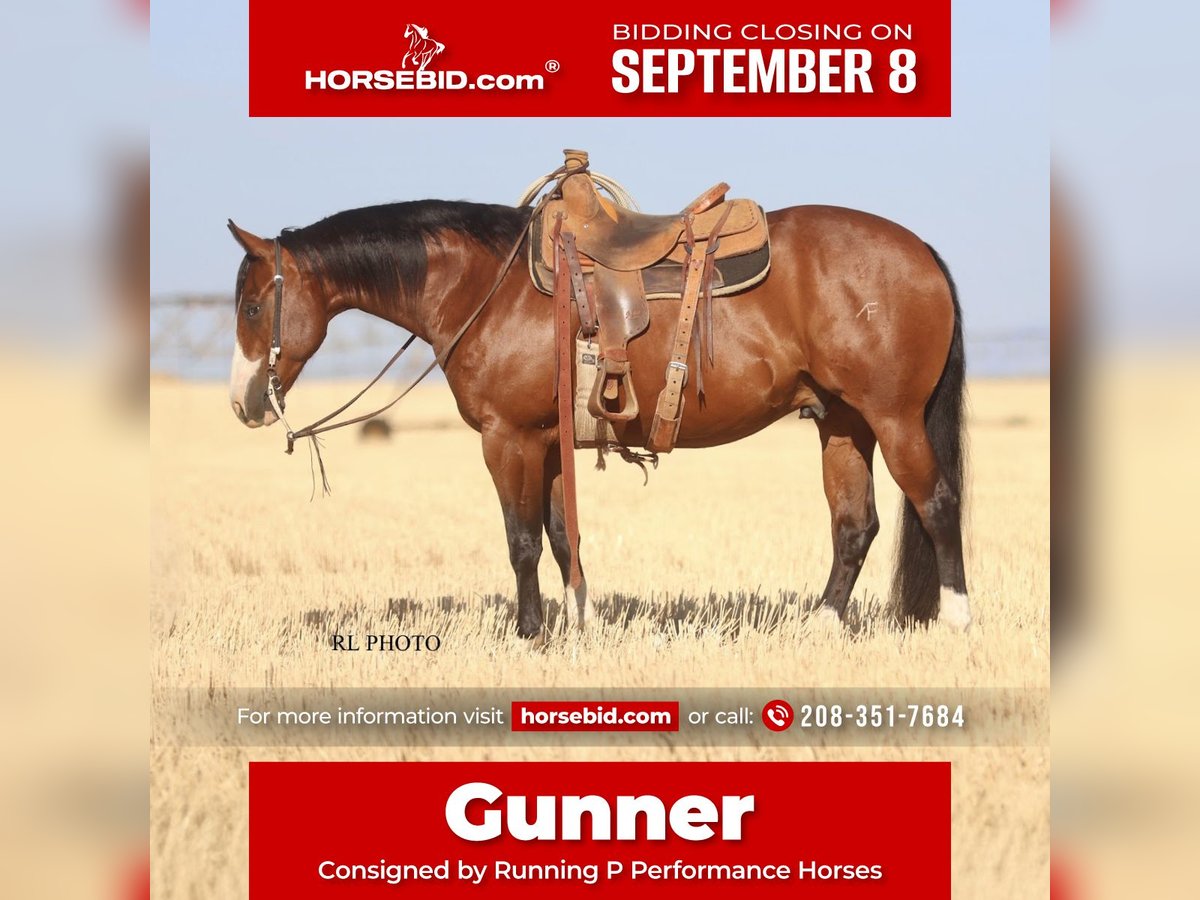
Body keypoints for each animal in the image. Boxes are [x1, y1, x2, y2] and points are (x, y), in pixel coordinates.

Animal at [226, 197, 971, 641]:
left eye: (254, 306)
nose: (243, 403)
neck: (487, 287)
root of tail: (922, 251)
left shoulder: (507, 440)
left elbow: (521, 541)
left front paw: (528, 633)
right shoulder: (551, 440)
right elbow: (562, 537)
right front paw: (581, 623)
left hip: (894, 419)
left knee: (937, 504)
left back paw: (957, 620)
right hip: (843, 422)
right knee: (855, 525)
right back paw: (819, 626)